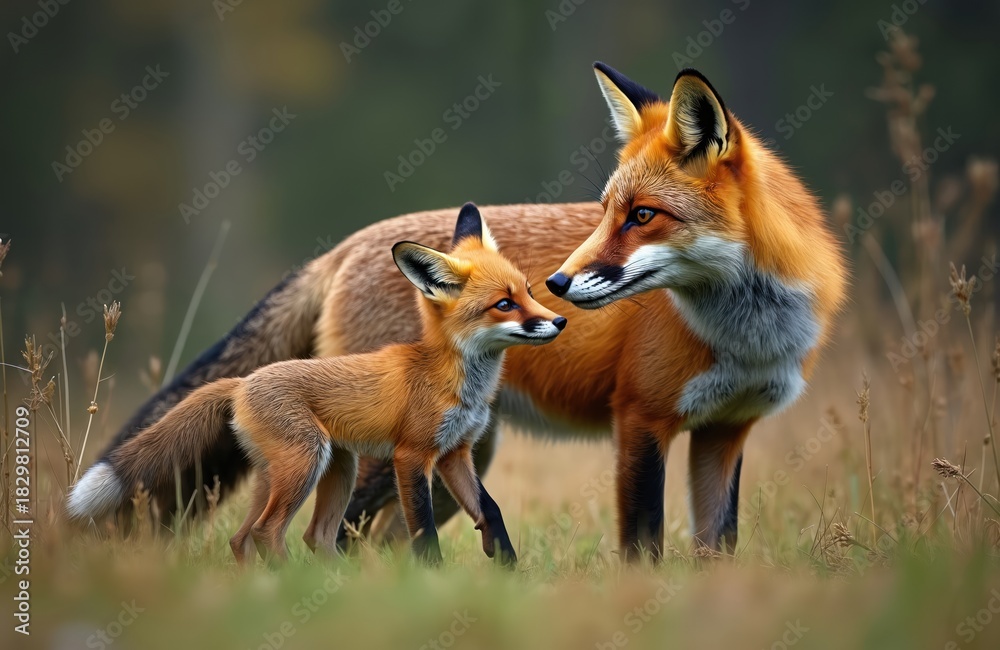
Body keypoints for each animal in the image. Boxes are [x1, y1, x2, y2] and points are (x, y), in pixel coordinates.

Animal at [68, 203, 566, 565]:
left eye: (528, 291)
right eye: (504, 304)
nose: (560, 320)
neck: (454, 380)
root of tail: (242, 381)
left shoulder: (455, 454)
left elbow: (491, 510)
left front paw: (508, 569)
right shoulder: (412, 456)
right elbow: (423, 532)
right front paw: (433, 581)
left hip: (320, 469)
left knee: (270, 536)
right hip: (308, 461)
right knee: (269, 532)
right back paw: (289, 584)